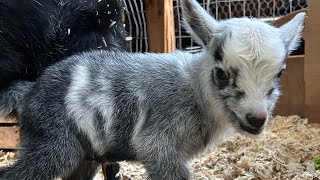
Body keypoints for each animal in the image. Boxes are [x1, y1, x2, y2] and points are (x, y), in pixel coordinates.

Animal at [0, 0, 304, 179]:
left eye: (280, 73)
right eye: (220, 73)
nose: (256, 118)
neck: (193, 90)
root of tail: (30, 90)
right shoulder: (159, 146)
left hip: (83, 153)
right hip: (53, 143)